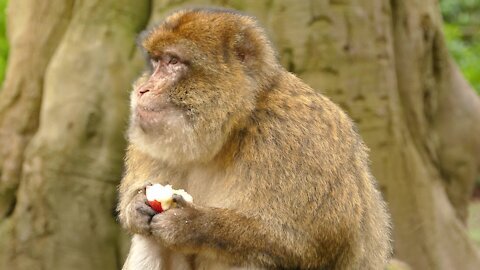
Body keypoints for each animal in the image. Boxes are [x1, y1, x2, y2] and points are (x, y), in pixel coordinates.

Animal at [118, 6, 392, 270]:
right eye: (156, 62)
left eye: (173, 61)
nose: (142, 90)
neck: (234, 128)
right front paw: (136, 206)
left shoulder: (297, 138)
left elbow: (317, 242)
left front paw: (191, 224)